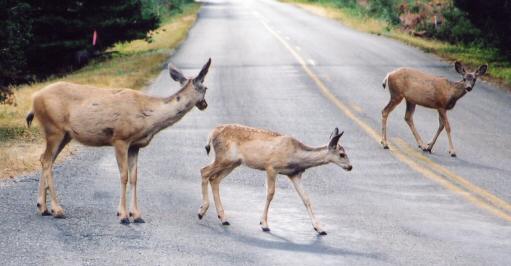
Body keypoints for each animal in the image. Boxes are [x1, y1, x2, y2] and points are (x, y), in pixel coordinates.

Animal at [27, 58, 212, 224]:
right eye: (205, 88)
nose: (205, 105)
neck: (148, 116)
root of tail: (34, 99)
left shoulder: (135, 145)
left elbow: (135, 177)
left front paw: (136, 215)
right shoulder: (120, 138)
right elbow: (124, 176)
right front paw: (122, 215)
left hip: (65, 135)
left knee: (45, 159)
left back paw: (43, 208)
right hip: (54, 129)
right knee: (47, 160)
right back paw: (57, 210)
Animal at [197, 124, 352, 235]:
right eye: (342, 154)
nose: (350, 167)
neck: (296, 156)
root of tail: (212, 133)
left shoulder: (294, 174)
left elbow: (306, 198)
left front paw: (319, 228)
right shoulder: (271, 167)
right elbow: (270, 193)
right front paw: (264, 224)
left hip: (233, 163)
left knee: (214, 179)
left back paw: (223, 218)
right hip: (224, 158)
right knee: (204, 171)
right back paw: (201, 211)